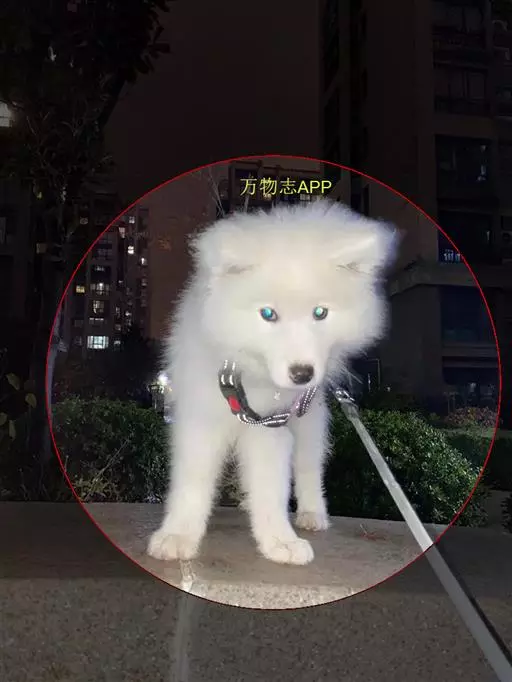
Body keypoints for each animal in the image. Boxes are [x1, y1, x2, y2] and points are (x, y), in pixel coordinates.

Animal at [148, 199, 398, 565]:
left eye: (320, 313)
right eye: (268, 314)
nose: (302, 374)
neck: (248, 376)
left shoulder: (271, 428)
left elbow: (272, 488)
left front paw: (279, 540)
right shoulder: (200, 418)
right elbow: (193, 481)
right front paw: (178, 535)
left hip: (309, 424)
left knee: (309, 467)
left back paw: (312, 513)